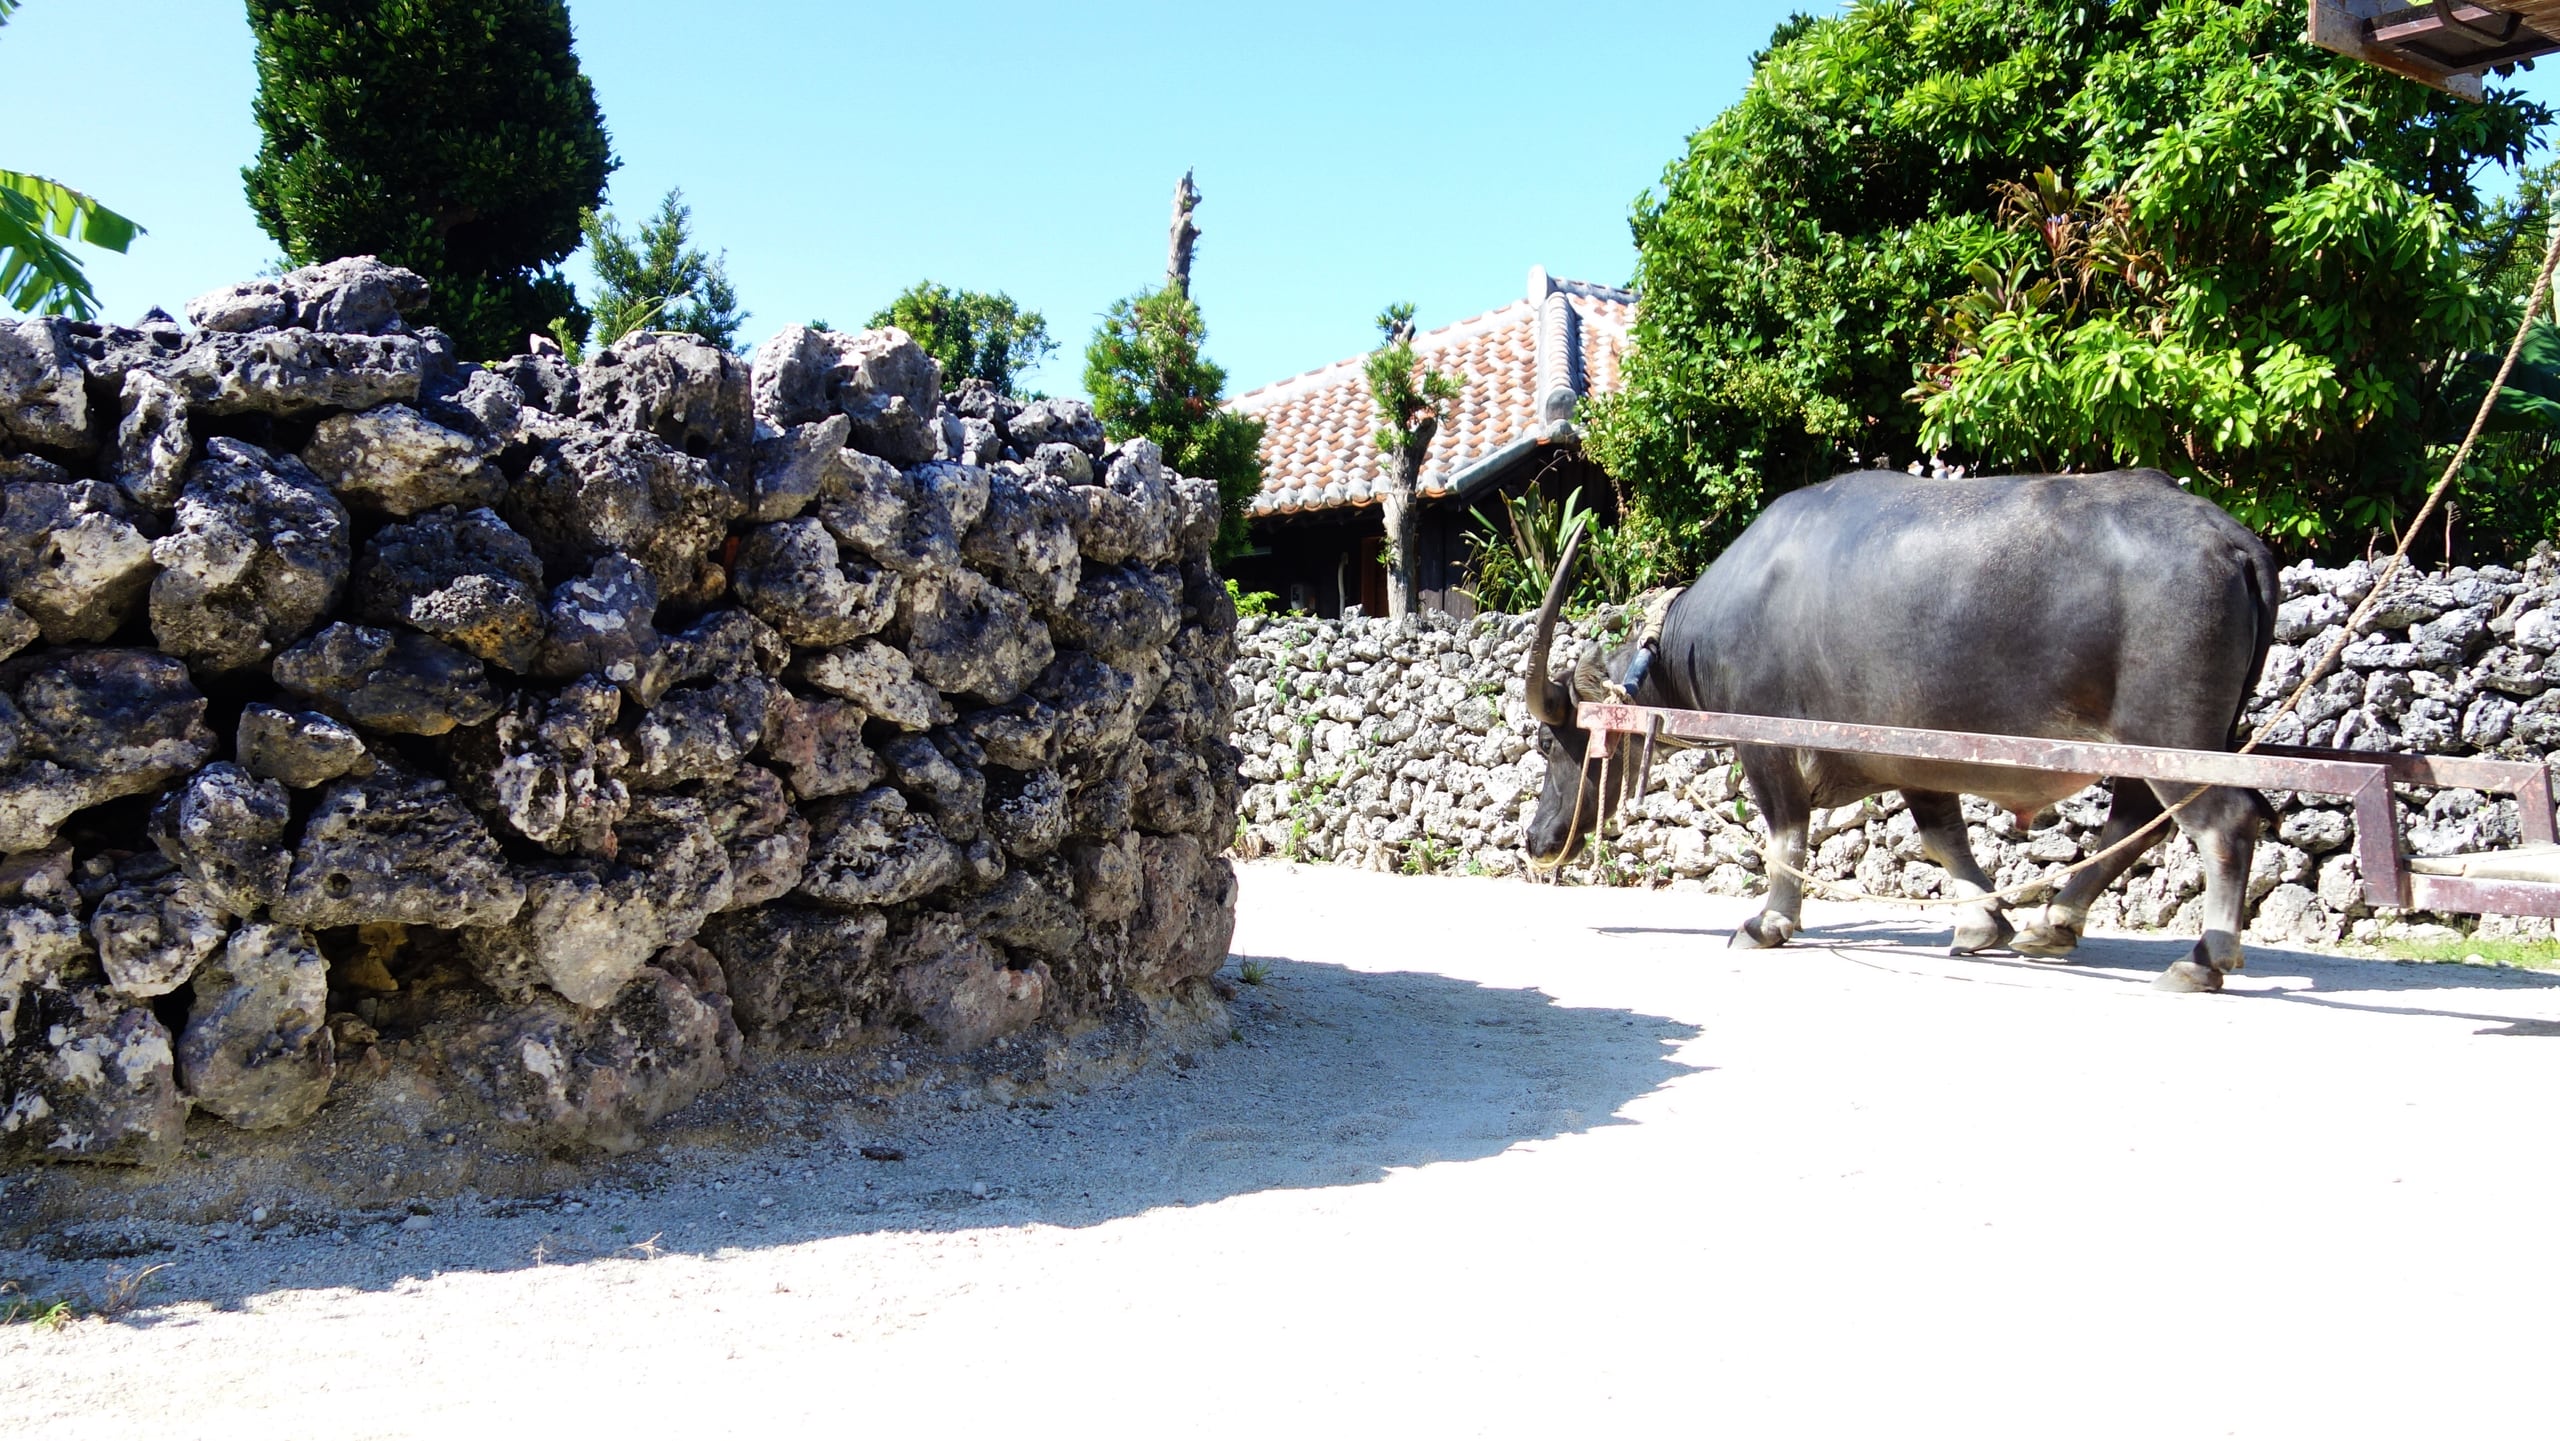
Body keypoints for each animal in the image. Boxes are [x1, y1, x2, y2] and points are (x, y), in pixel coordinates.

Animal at [1521, 469, 2278, 993]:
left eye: (1555, 742)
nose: (1537, 841)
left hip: (2175, 738)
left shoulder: (1765, 744)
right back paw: (2053, 922)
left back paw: (2203, 958)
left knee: (2222, 822)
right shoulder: (1917, 757)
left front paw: (1768, 921)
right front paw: (1983, 922)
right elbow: (1943, 837)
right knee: (2140, 819)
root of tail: (2229, 537)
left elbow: (1785, 832)